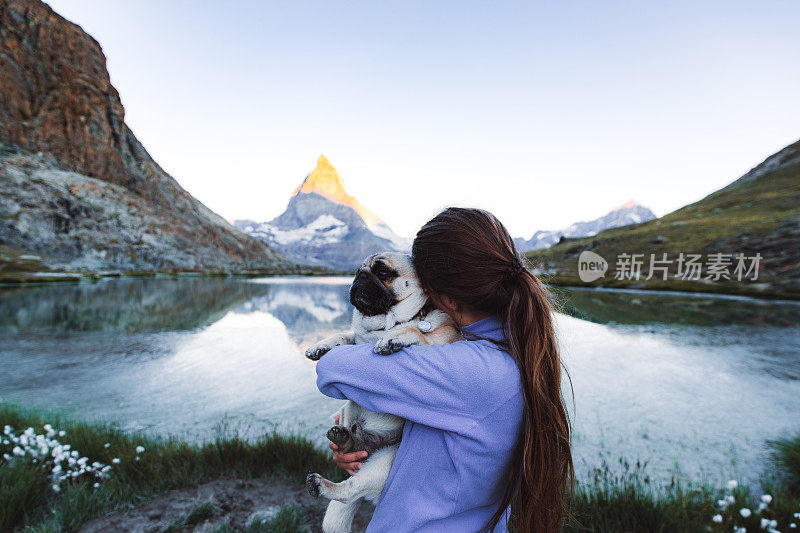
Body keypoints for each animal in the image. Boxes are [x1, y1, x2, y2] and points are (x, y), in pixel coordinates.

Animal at [304, 250, 460, 532]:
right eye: (358, 271)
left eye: (383, 272)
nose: (360, 277)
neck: (381, 325)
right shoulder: (356, 340)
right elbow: (345, 336)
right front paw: (321, 346)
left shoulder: (439, 341)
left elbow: (414, 330)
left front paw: (393, 338)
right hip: (352, 425)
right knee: (351, 443)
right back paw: (342, 438)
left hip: (385, 462)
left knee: (349, 490)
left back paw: (323, 484)